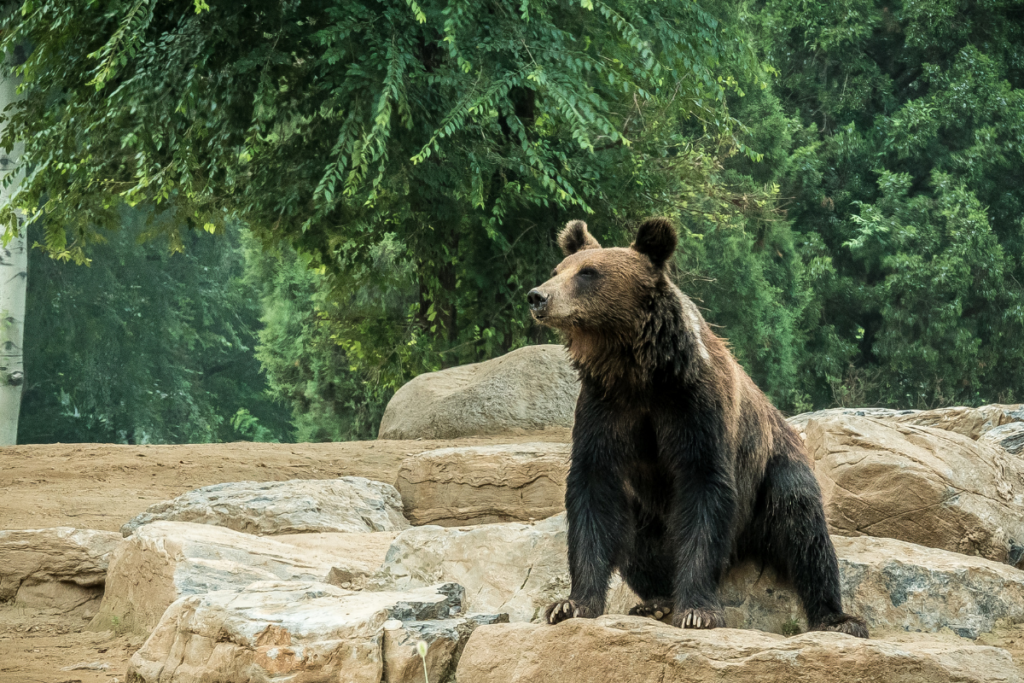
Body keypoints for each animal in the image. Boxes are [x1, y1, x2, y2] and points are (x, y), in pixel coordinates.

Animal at [528, 216, 872, 638]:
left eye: (588, 273)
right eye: (558, 269)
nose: (537, 296)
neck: (638, 370)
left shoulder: (694, 406)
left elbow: (703, 489)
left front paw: (698, 611)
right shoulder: (605, 409)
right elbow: (593, 489)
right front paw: (570, 604)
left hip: (773, 470)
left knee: (802, 523)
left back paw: (837, 617)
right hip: (646, 505)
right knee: (635, 534)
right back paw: (656, 601)